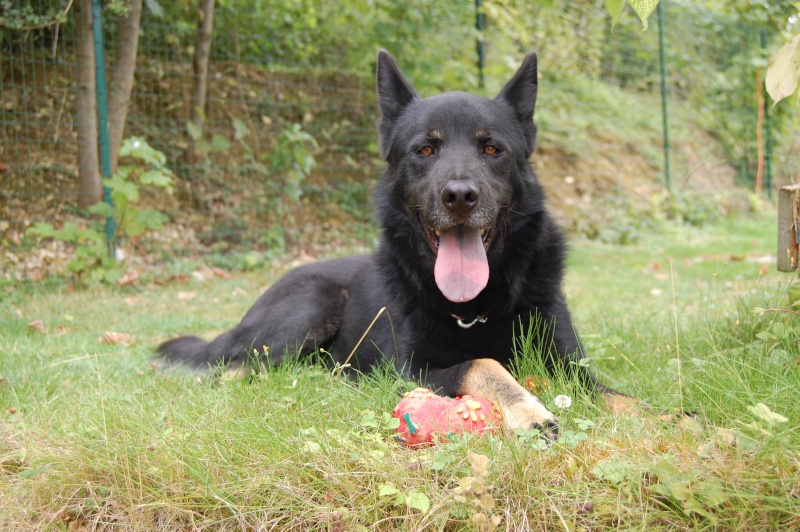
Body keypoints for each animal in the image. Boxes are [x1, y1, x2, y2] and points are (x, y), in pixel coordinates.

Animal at [158, 50, 624, 432]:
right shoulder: (411, 370)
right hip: (314, 305)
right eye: (425, 150)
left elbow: (617, 396)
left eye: (492, 149)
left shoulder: (570, 363)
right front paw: (528, 410)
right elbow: (483, 363)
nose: (459, 197)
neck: (474, 309)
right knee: (234, 370)